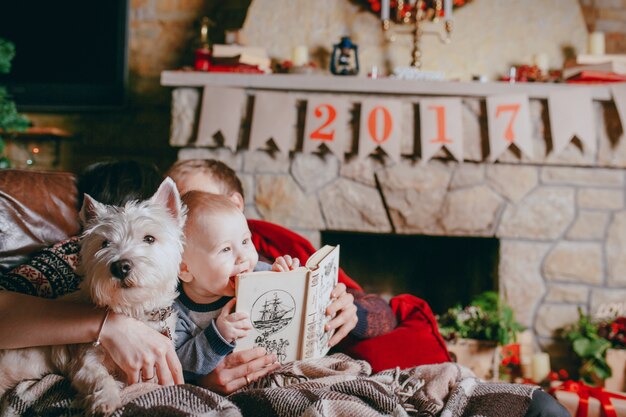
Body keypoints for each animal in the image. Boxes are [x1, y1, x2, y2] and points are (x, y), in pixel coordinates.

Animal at [0, 177, 184, 414]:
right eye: (104, 243)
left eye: (149, 238)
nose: (120, 267)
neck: (133, 310)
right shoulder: (85, 358)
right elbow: (98, 376)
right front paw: (106, 400)